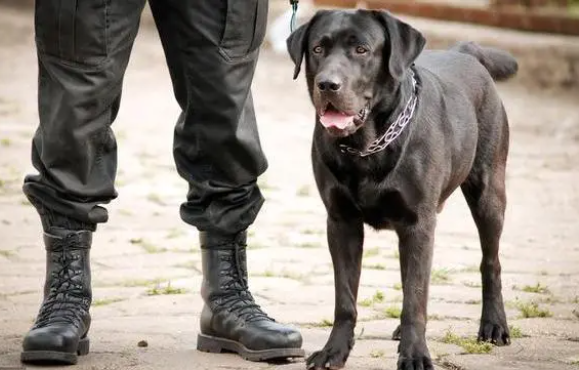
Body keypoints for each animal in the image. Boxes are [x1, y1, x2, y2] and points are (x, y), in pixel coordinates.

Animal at [288, 7, 520, 370]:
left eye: (362, 50)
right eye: (317, 49)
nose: (327, 84)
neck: (367, 146)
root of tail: (465, 51)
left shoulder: (418, 222)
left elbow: (416, 296)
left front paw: (415, 355)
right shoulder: (341, 222)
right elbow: (346, 298)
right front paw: (334, 351)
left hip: (489, 192)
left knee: (490, 261)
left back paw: (494, 325)